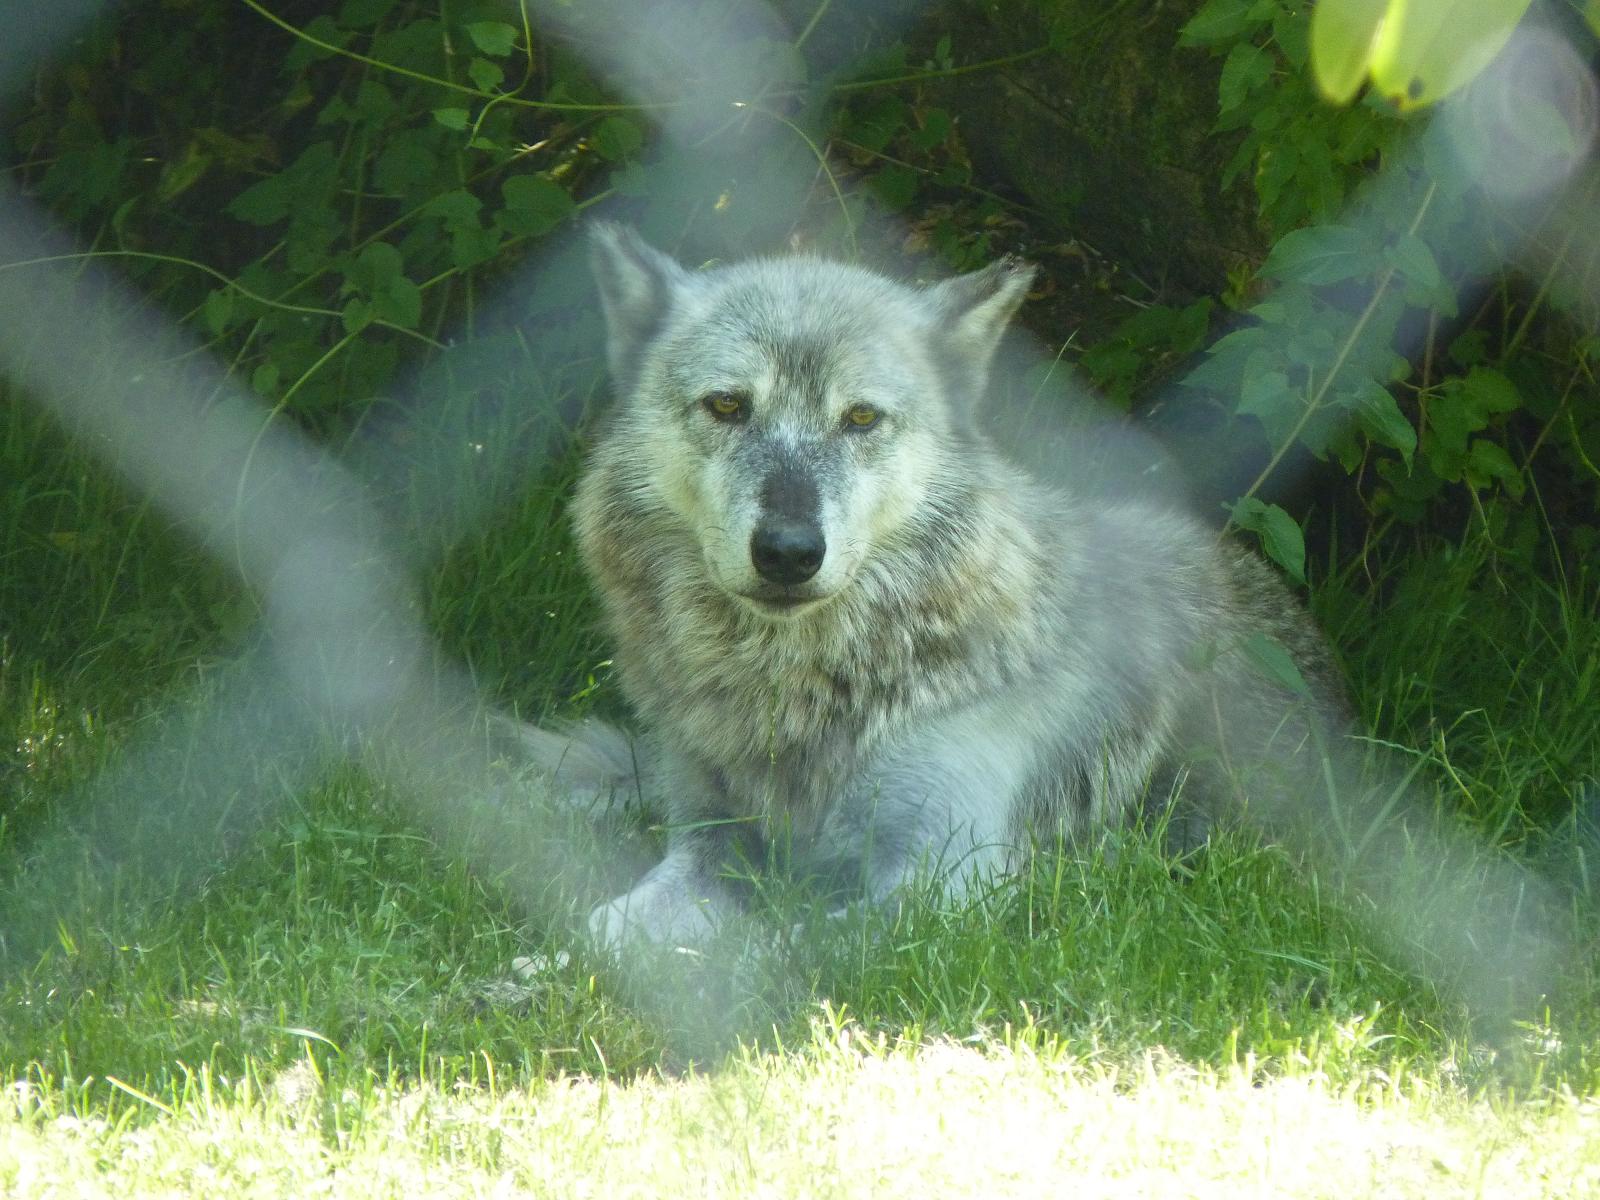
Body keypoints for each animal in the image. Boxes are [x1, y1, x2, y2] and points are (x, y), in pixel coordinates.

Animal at [515, 224, 1349, 950]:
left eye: (860, 418)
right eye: (727, 405)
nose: (788, 552)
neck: (800, 695)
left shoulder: (943, 882)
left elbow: (770, 945)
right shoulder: (709, 845)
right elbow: (604, 926)